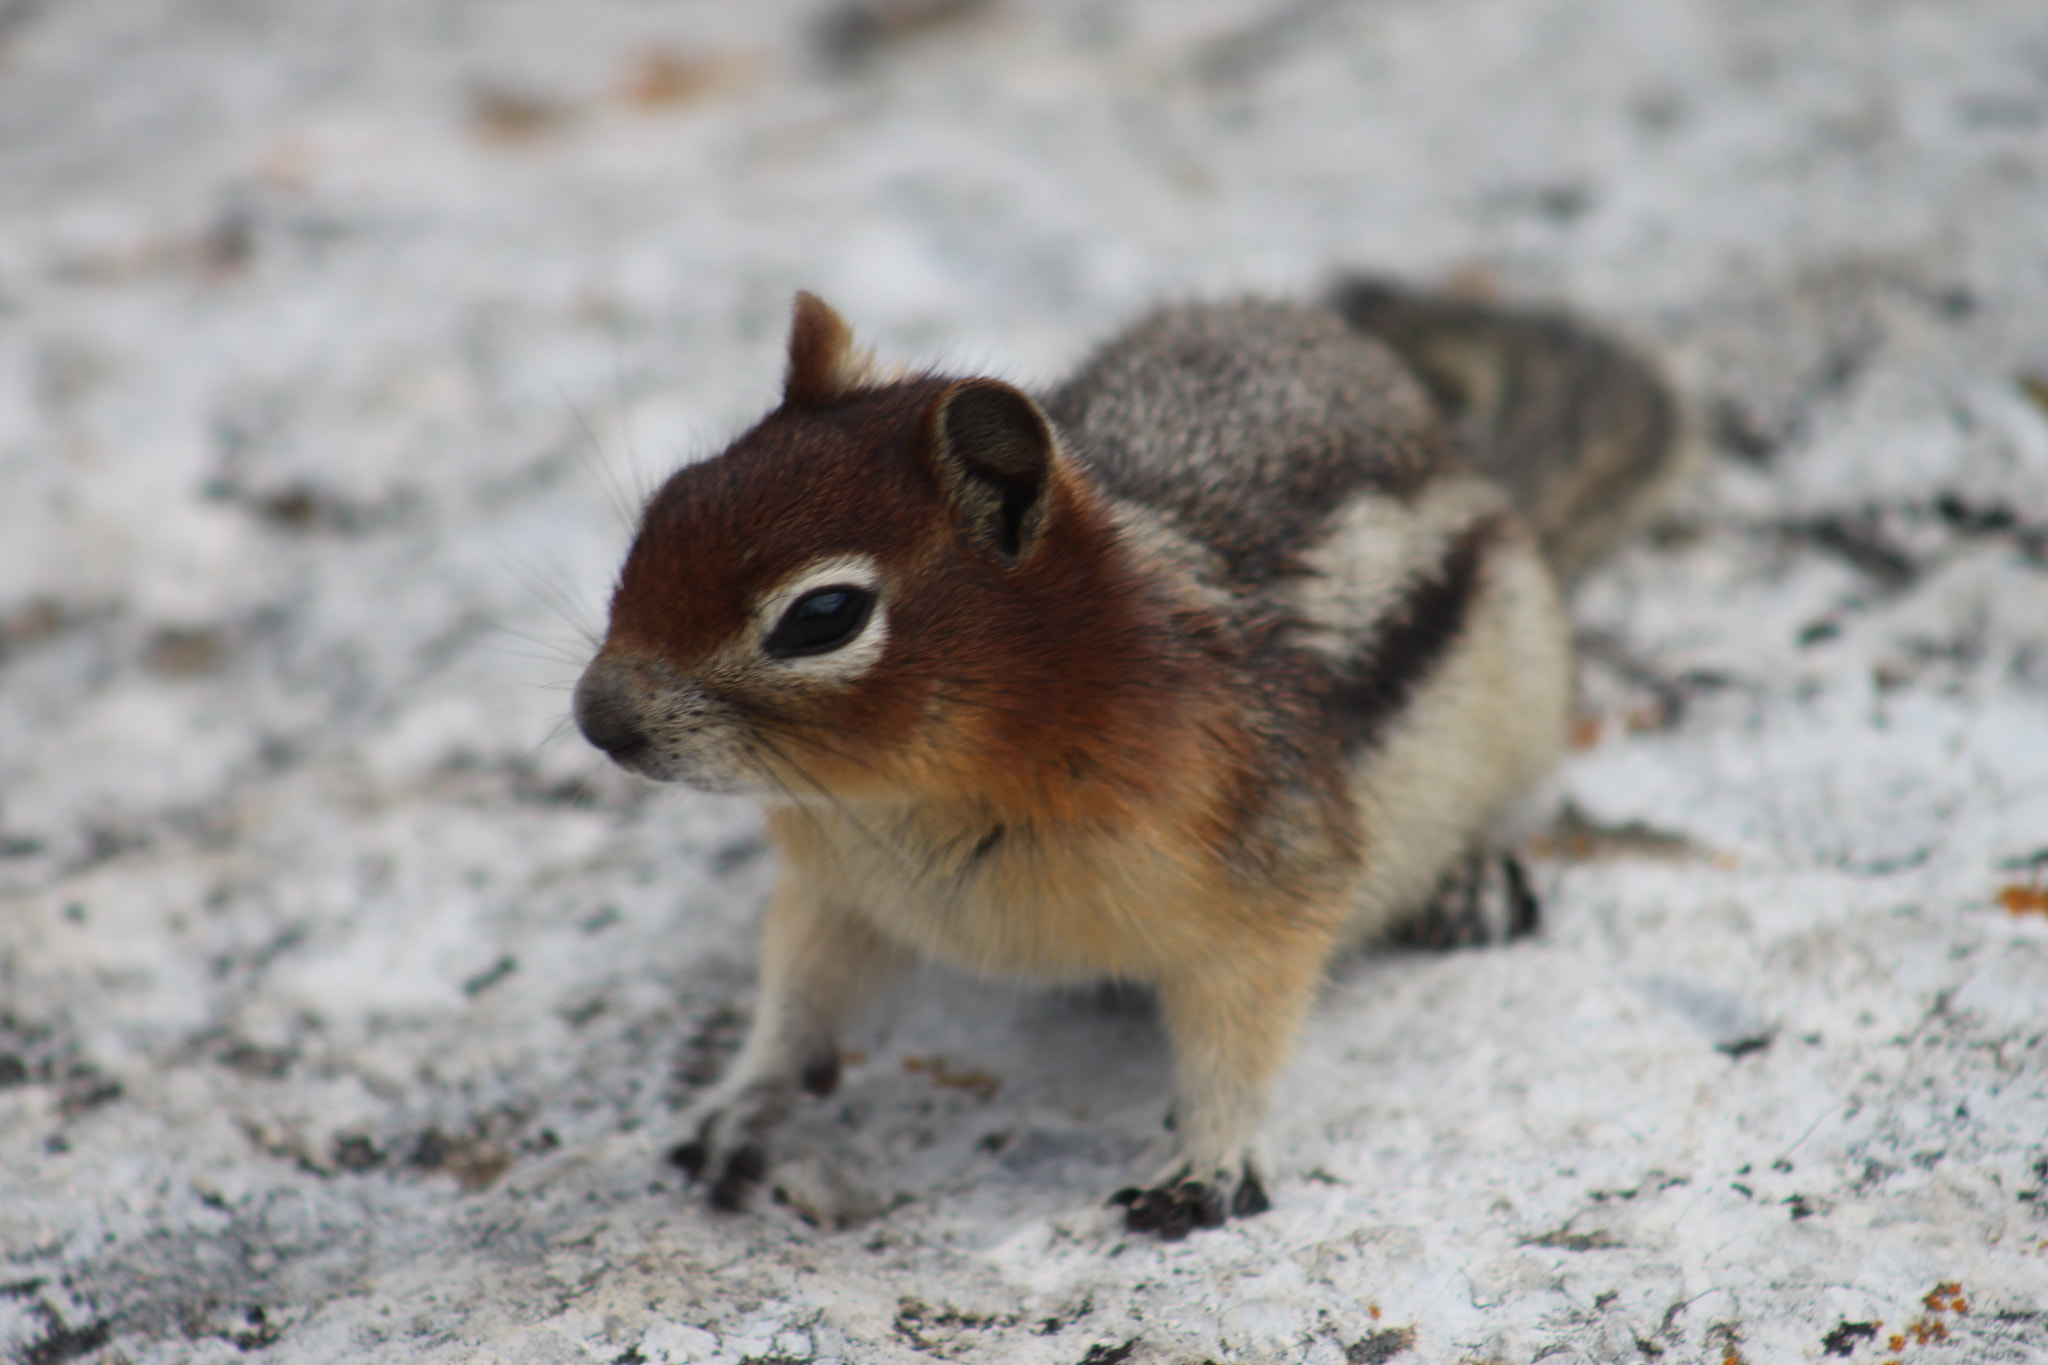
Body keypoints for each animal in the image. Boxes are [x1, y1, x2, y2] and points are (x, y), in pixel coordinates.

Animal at [573, 282, 1679, 1244]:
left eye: (823, 616)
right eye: (665, 504)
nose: (596, 720)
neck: (922, 796)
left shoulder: (1270, 887)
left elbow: (1239, 1041)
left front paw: (1212, 1163)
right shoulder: (834, 886)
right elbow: (796, 994)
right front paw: (740, 1102)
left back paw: (1473, 878)